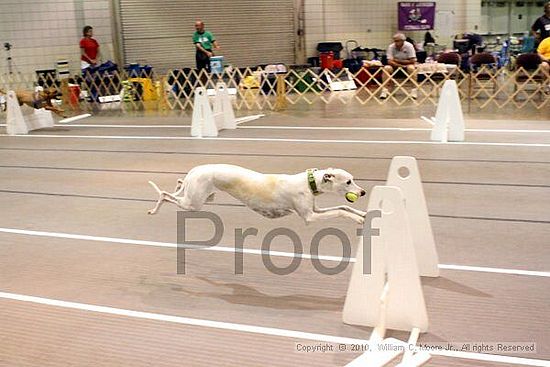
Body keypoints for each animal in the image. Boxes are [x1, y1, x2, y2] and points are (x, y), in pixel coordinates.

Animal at [149, 165, 368, 224]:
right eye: (348, 182)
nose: (363, 192)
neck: (309, 182)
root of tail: (196, 169)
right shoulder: (310, 217)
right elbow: (340, 211)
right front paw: (358, 220)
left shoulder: (316, 209)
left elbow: (343, 206)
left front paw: (363, 214)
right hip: (193, 204)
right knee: (166, 195)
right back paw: (154, 208)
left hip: (198, 196)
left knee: (179, 184)